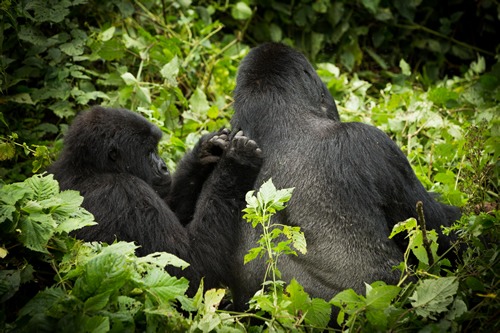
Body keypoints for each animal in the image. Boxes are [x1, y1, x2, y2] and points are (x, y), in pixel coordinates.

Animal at [48, 106, 264, 290]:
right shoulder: (128, 192)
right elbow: (189, 266)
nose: (164, 167)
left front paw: (205, 151)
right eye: (149, 151)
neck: (90, 168)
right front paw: (237, 162)